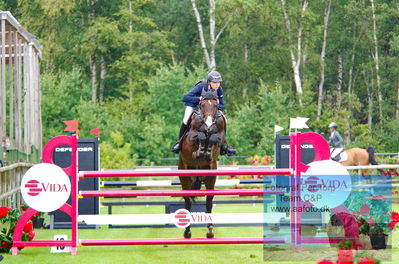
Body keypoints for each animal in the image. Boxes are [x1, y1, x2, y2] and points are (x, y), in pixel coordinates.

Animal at [177, 89, 225, 239]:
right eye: (202, 105)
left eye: (216, 106)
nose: (209, 125)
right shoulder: (190, 139)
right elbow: (199, 136)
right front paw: (200, 150)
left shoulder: (219, 137)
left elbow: (214, 138)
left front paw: (207, 152)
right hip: (185, 176)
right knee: (187, 202)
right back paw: (187, 232)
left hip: (210, 177)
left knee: (209, 202)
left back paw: (210, 230)